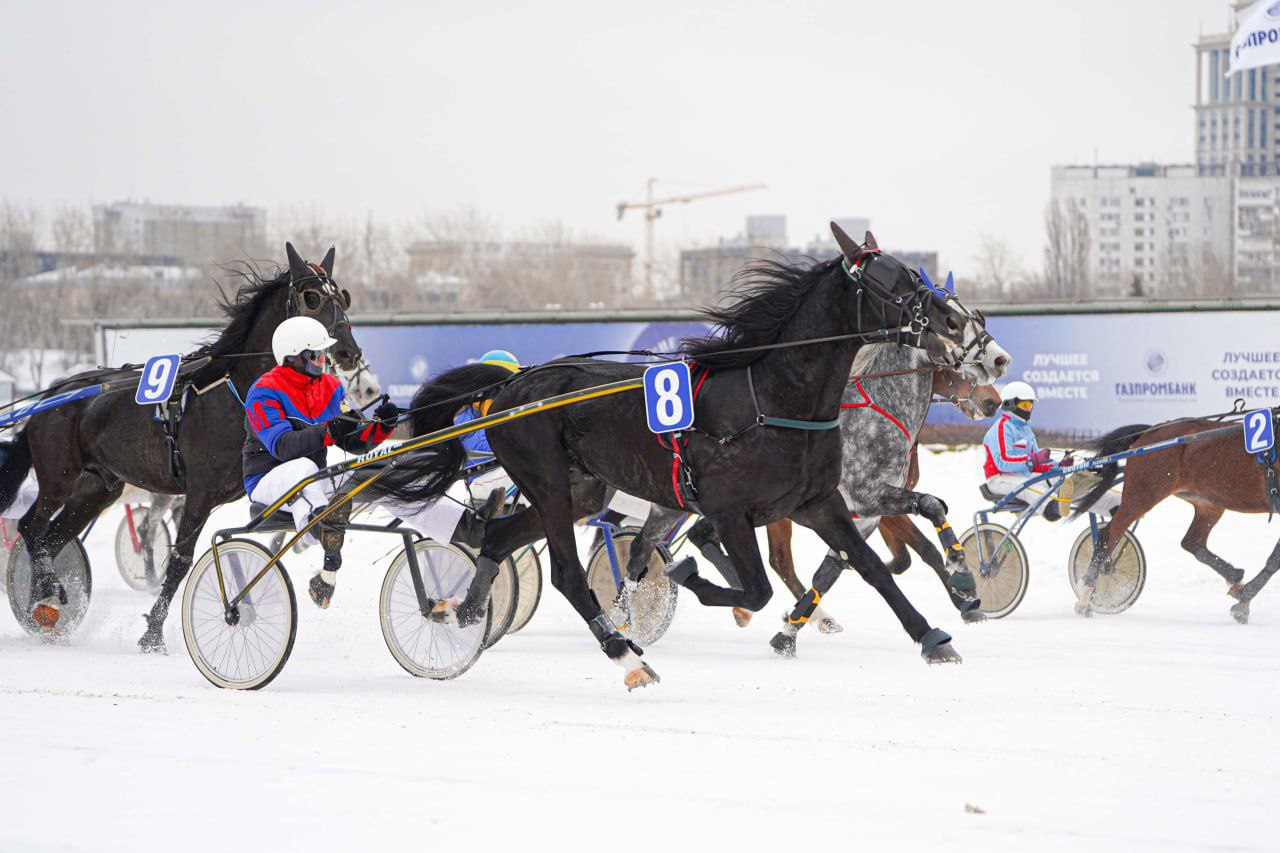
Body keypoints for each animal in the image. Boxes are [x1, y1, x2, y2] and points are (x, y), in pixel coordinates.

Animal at [0, 242, 363, 648]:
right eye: (312, 298)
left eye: (343, 297)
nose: (349, 352)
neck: (235, 391)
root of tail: (51, 396)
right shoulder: (200, 494)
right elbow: (180, 560)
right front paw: (153, 634)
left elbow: (325, 523)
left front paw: (322, 582)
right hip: (59, 478)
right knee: (32, 528)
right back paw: (48, 592)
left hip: (97, 489)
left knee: (51, 539)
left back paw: (43, 609)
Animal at [732, 361, 998, 627]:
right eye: (954, 365)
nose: (992, 402)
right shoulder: (877, 503)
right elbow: (924, 550)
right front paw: (964, 601)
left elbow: (903, 557)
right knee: (780, 562)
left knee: (778, 561)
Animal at [1075, 414, 1280, 622]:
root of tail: (1151, 432)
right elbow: (1275, 560)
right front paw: (1243, 603)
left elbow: (1275, 559)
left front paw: (1242, 599)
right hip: (1142, 496)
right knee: (1108, 536)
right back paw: (1085, 597)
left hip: (1208, 504)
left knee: (1192, 542)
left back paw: (1234, 576)